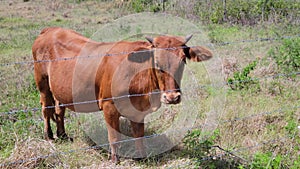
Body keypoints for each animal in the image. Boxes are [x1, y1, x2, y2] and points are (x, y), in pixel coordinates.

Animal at [31, 27, 212, 163]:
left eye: (183, 60)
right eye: (156, 62)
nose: (172, 97)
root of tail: (50, 30)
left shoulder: (138, 110)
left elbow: (139, 135)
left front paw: (141, 157)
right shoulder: (109, 106)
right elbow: (114, 138)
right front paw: (115, 160)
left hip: (59, 89)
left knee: (59, 110)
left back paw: (63, 135)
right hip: (42, 83)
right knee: (46, 109)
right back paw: (49, 136)